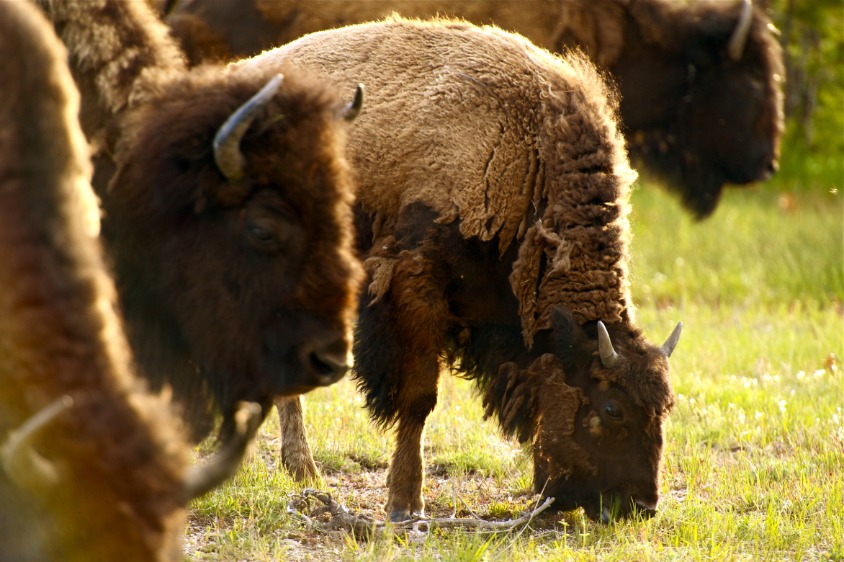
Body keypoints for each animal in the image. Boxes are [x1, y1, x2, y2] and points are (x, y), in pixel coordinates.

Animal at [229, 18, 680, 520]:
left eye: (666, 407)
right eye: (612, 407)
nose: (642, 505)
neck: (529, 154)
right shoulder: (416, 290)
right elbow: (420, 398)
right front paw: (405, 501)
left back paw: (301, 471)